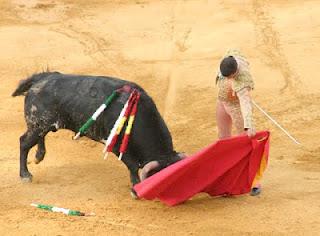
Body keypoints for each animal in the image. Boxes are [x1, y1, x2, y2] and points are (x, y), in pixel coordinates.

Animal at [12, 72, 184, 195]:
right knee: (24, 142)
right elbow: (133, 165)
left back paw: (39, 156)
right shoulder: (117, 146)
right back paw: (25, 175)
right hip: (38, 125)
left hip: (43, 125)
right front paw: (136, 188)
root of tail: (42, 78)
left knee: (38, 138)